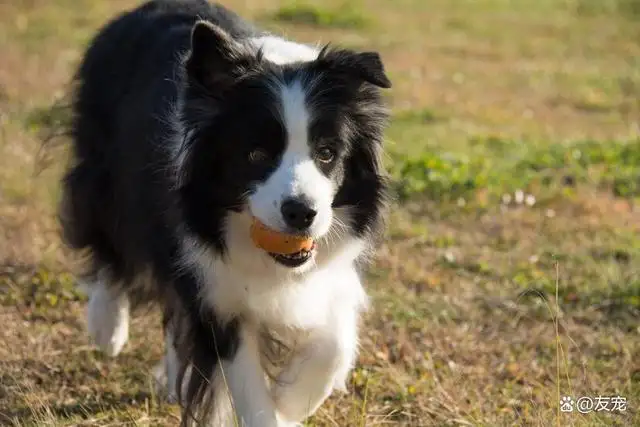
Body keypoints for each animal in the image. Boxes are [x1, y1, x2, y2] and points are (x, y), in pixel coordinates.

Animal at [60, 1, 390, 426]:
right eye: (255, 155)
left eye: (328, 153)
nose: (301, 213)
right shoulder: (214, 279)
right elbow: (242, 373)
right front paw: (277, 407)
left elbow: (336, 339)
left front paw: (291, 400)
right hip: (107, 169)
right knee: (108, 236)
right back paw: (108, 328)